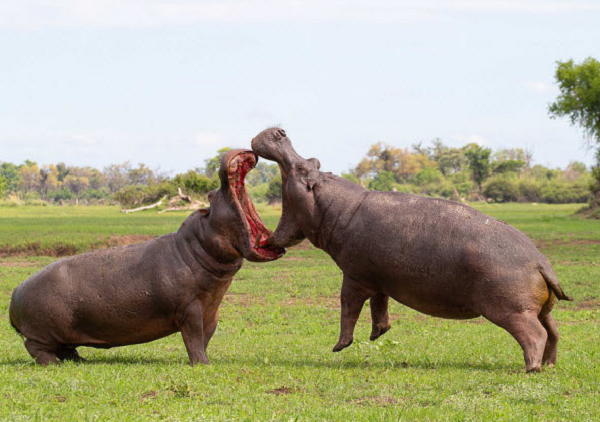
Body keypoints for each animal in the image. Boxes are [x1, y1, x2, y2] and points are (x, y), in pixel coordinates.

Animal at [9, 149, 284, 366]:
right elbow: (194, 338)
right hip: (42, 333)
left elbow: (206, 336)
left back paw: (80, 360)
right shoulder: (191, 309)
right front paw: (203, 365)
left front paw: (206, 360)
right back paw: (54, 364)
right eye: (211, 194)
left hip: (65, 333)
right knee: (36, 349)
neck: (197, 247)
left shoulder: (211, 310)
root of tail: (14, 293)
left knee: (66, 349)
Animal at [252, 128, 572, 372]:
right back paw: (550, 365)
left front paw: (339, 346)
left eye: (302, 167)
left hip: (512, 310)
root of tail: (541, 262)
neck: (331, 206)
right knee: (553, 332)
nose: (279, 132)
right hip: (540, 309)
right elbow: (379, 305)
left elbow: (348, 308)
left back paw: (531, 368)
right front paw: (378, 334)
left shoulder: (354, 276)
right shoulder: (378, 276)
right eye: (314, 161)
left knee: (535, 334)